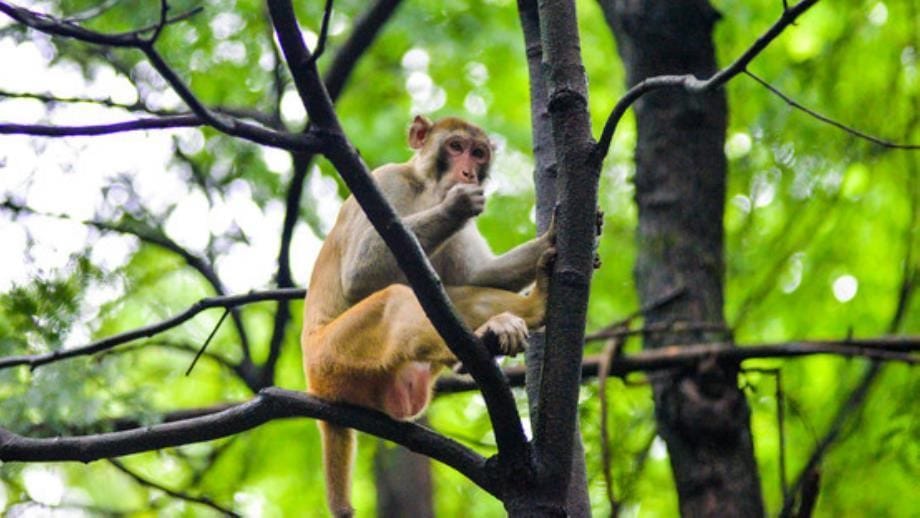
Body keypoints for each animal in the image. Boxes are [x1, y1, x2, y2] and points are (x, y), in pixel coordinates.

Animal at [306, 116, 556, 516]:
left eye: (478, 152)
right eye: (455, 146)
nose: (467, 171)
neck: (426, 190)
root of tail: (315, 385)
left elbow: (479, 276)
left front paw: (550, 239)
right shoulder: (383, 182)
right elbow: (360, 273)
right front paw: (456, 206)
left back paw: (525, 312)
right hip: (332, 357)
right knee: (394, 300)